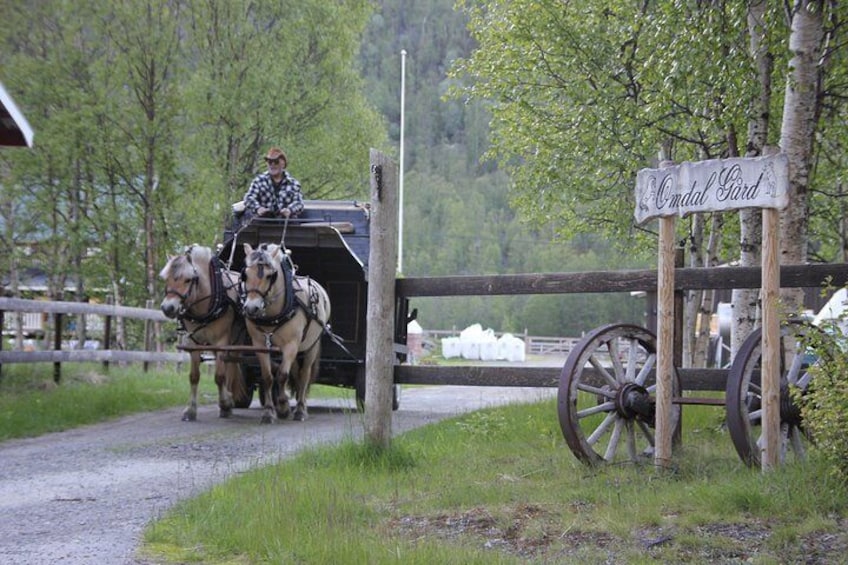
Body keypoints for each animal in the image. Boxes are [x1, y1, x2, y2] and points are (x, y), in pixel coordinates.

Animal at [158, 245, 247, 420]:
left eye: (188, 279)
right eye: (166, 279)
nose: (167, 308)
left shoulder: (221, 341)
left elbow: (219, 376)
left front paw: (225, 403)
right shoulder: (194, 342)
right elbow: (194, 376)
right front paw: (190, 410)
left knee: (231, 364)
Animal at [242, 240, 332, 420]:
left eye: (270, 275)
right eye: (245, 275)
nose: (252, 308)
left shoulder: (290, 345)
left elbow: (283, 374)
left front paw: (283, 407)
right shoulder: (260, 345)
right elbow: (268, 376)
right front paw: (269, 411)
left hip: (310, 346)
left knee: (304, 375)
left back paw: (300, 409)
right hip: (298, 350)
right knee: (296, 373)